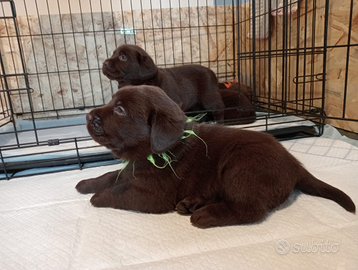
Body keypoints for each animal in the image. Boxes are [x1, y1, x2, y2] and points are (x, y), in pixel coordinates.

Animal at [76, 85, 356, 229]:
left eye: (120, 110)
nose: (88, 116)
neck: (154, 153)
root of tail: (295, 164)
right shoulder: (131, 169)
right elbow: (111, 175)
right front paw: (87, 184)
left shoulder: (153, 195)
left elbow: (120, 191)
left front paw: (97, 197)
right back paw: (193, 203)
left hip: (242, 165)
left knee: (250, 209)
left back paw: (205, 215)